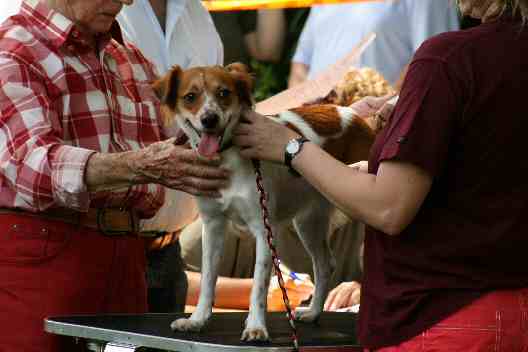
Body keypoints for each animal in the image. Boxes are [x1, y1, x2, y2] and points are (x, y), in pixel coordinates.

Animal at [153, 62, 376, 340]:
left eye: (224, 93)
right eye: (190, 97)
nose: (209, 119)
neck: (228, 156)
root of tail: (354, 117)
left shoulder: (263, 228)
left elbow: (259, 285)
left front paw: (256, 327)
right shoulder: (212, 225)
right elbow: (207, 278)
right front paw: (197, 320)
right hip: (309, 222)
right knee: (325, 264)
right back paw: (314, 313)